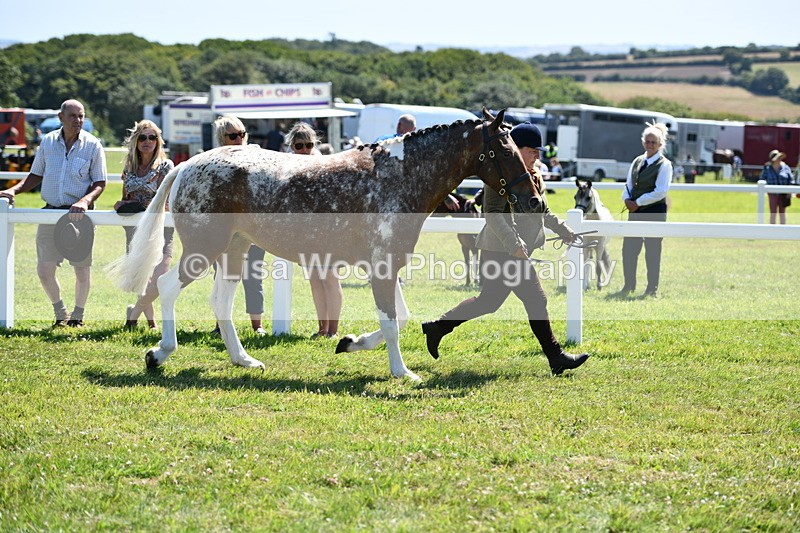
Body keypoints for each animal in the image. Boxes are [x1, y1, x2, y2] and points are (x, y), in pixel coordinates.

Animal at [109, 109, 538, 381]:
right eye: (502, 150)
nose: (533, 200)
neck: (399, 176)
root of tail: (185, 165)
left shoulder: (388, 265)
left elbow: (399, 317)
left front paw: (349, 343)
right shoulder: (383, 266)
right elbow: (392, 322)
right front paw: (402, 372)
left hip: (233, 251)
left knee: (221, 303)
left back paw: (244, 359)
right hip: (204, 249)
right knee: (166, 286)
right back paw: (159, 353)